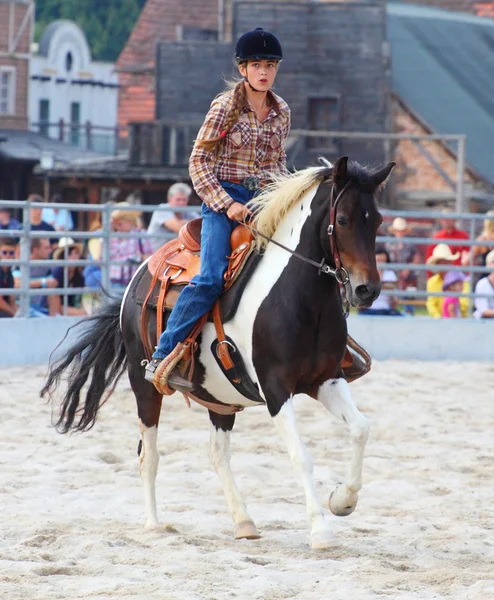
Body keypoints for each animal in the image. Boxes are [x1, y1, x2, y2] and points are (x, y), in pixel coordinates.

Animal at [43, 157, 398, 552]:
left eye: (377, 220)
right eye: (344, 220)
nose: (367, 290)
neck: (301, 298)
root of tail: (139, 274)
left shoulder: (326, 380)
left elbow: (361, 429)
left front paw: (342, 501)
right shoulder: (275, 388)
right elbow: (301, 455)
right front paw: (321, 529)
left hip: (221, 398)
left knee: (217, 454)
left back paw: (243, 521)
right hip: (143, 384)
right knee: (148, 454)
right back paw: (154, 524)